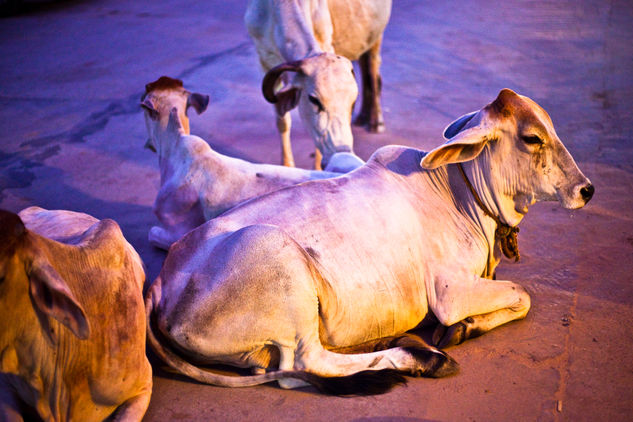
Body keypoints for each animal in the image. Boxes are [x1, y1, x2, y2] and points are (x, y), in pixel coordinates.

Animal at [243, 0, 388, 168]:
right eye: (314, 99)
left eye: (352, 102)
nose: (341, 151)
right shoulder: (264, 60)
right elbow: (282, 120)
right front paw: (287, 165)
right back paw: (362, 116)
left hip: (376, 36)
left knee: (372, 71)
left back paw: (376, 121)